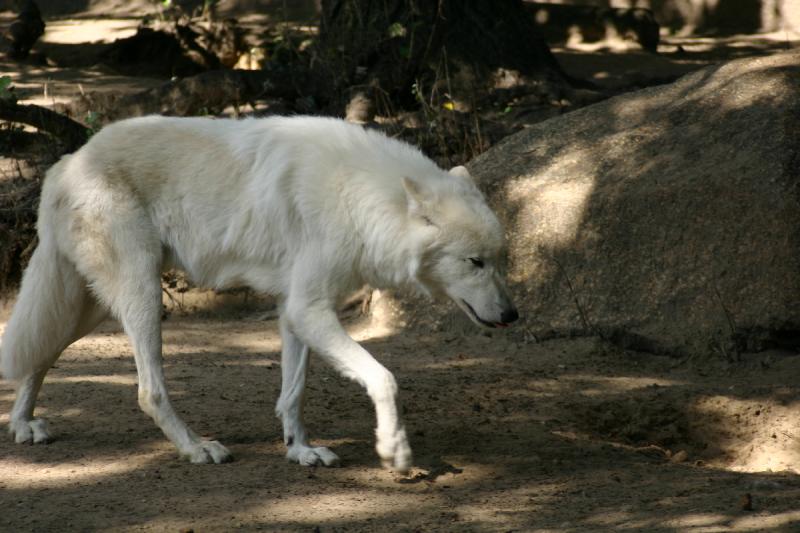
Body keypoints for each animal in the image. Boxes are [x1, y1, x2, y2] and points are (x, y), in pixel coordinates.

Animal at [0, 115, 520, 470]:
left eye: (499, 259)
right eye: (474, 262)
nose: (513, 315)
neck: (359, 196)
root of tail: (68, 162)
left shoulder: (295, 310)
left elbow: (293, 393)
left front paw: (300, 450)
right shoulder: (310, 309)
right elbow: (384, 378)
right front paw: (395, 450)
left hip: (90, 308)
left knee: (37, 354)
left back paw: (23, 425)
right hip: (141, 298)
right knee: (148, 391)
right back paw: (196, 447)